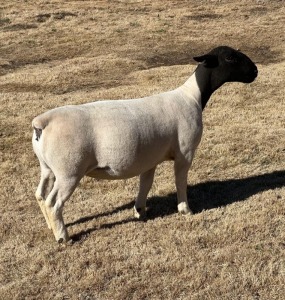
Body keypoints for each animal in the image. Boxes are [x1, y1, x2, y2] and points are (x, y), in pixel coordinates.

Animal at [31, 45, 258, 241]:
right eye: (230, 57)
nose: (255, 71)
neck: (192, 97)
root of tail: (42, 122)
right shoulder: (185, 153)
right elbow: (180, 181)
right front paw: (185, 209)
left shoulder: (150, 159)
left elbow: (146, 185)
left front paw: (140, 211)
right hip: (69, 171)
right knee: (53, 203)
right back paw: (63, 237)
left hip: (47, 168)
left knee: (40, 195)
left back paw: (51, 227)